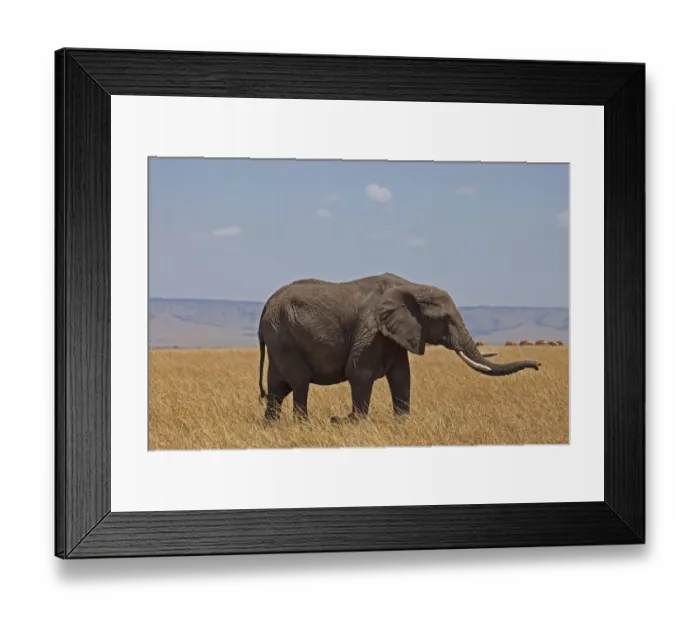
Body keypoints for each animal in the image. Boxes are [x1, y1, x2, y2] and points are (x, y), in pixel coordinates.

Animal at [257, 273, 541, 424]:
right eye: (445, 320)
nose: (538, 365)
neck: (412, 286)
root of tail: (266, 304)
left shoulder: (397, 334)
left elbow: (402, 376)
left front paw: (403, 422)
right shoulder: (371, 329)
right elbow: (359, 373)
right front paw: (354, 423)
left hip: (279, 336)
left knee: (277, 386)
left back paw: (273, 426)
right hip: (283, 335)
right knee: (300, 381)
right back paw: (302, 424)